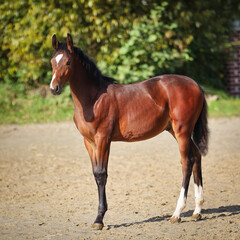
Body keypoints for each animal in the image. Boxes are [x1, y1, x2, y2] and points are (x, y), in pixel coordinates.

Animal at [49, 33, 208, 229]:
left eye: (68, 62)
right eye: (52, 61)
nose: (54, 88)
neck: (94, 99)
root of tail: (196, 85)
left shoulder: (103, 139)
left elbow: (101, 174)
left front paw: (99, 219)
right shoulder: (89, 142)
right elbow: (95, 174)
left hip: (182, 131)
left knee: (187, 162)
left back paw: (177, 213)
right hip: (175, 130)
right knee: (197, 156)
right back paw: (197, 211)